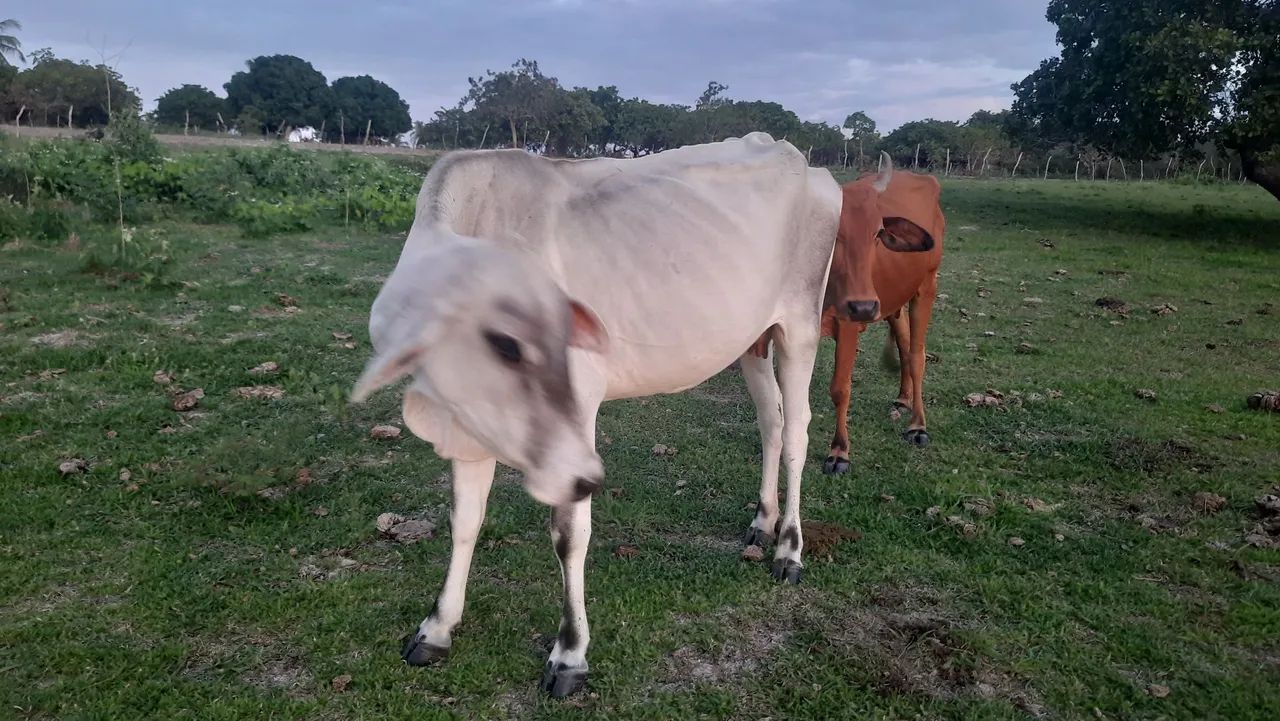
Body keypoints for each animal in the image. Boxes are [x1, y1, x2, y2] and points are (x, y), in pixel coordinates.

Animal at [350, 133, 858, 697]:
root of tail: (792, 153)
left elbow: (569, 533)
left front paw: (570, 653)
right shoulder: (468, 431)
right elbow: (465, 518)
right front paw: (436, 627)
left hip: (799, 324)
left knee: (797, 433)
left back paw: (789, 549)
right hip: (752, 338)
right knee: (770, 422)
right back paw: (762, 522)